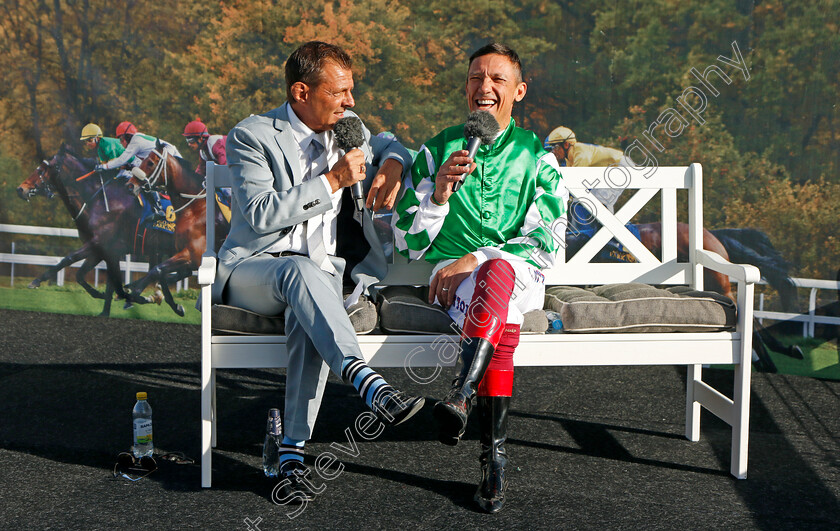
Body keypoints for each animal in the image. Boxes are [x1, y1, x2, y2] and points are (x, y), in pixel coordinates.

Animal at [16, 144, 172, 316]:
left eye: (43, 170)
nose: (20, 189)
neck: (99, 200)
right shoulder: (103, 249)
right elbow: (82, 275)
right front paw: (103, 301)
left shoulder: (99, 242)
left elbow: (68, 259)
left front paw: (36, 281)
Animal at [124, 143, 230, 314]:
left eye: (150, 163)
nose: (129, 186)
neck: (195, 209)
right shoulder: (184, 255)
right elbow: (164, 272)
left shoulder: (194, 255)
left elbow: (157, 270)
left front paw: (136, 292)